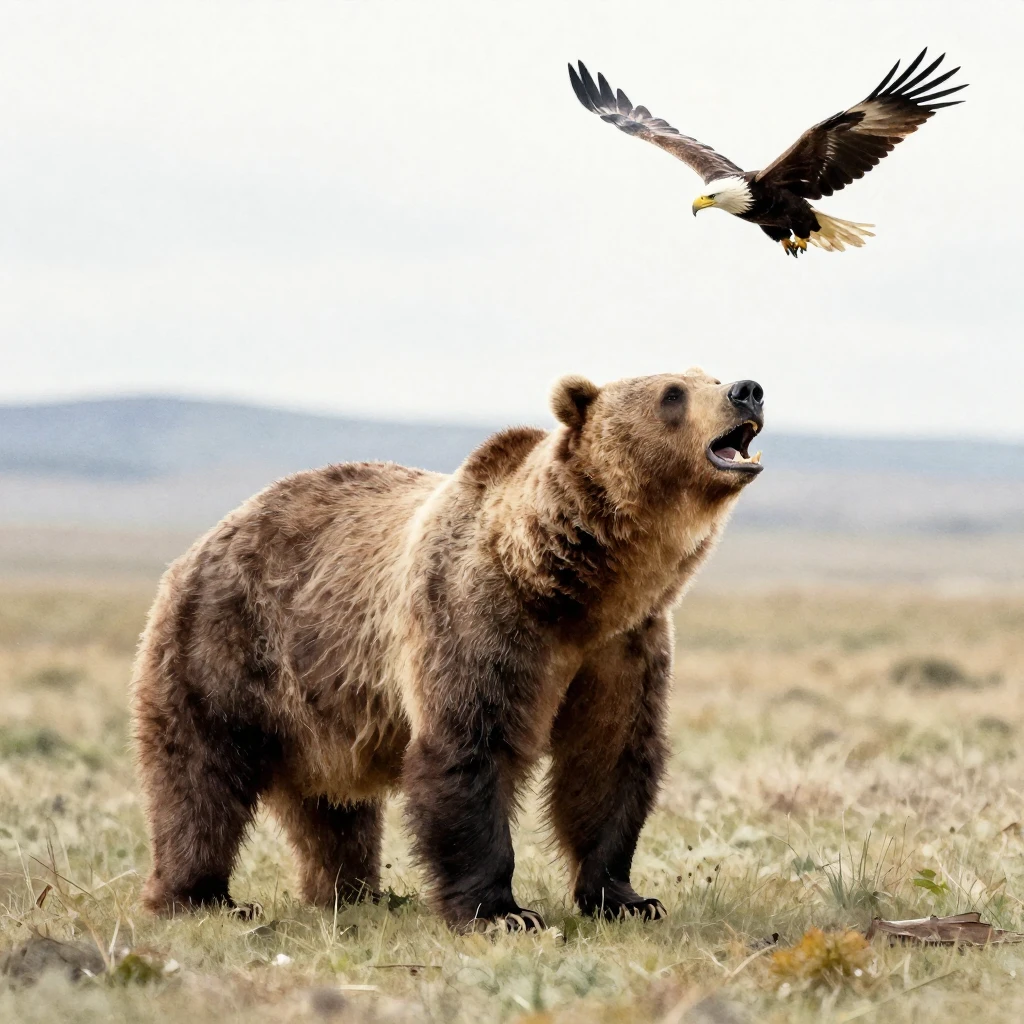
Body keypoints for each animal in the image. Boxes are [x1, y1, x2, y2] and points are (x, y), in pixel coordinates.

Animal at [130, 368, 765, 930]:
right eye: (673, 392)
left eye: (708, 374)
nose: (747, 389)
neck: (575, 589)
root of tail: (203, 542)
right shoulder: (479, 617)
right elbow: (470, 747)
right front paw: (501, 913)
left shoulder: (623, 649)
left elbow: (608, 759)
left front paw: (628, 899)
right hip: (223, 645)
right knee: (200, 778)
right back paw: (201, 898)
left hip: (320, 703)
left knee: (331, 807)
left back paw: (354, 893)